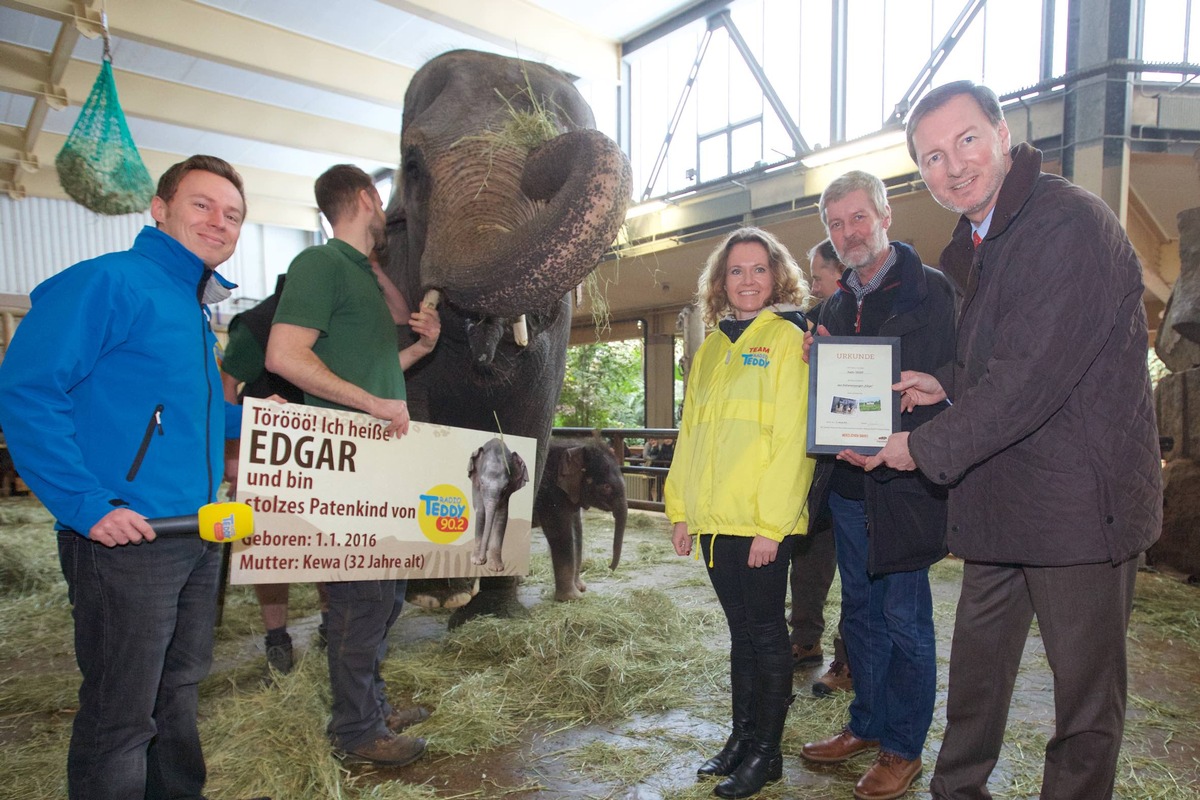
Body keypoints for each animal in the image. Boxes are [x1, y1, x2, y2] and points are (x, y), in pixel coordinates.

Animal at [465, 441, 528, 573]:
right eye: (482, 483)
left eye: (505, 487)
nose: (483, 558)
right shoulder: (477, 487)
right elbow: (481, 512)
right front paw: (476, 561)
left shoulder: (507, 494)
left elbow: (501, 515)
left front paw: (496, 569)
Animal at [535, 438, 628, 599]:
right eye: (606, 487)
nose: (609, 567)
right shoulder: (550, 493)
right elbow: (560, 533)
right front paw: (573, 598)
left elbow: (577, 529)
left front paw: (581, 588)